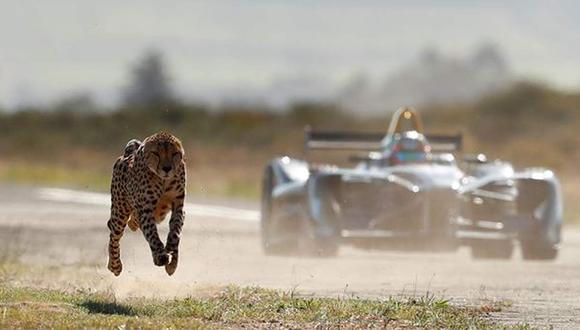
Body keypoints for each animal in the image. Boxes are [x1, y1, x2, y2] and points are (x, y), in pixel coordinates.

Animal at [105, 131, 185, 276]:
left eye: (174, 153)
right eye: (156, 153)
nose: (167, 168)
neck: (163, 180)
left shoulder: (178, 207)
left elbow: (175, 232)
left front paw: (172, 259)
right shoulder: (146, 210)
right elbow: (151, 233)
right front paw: (160, 255)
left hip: (159, 212)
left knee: (134, 220)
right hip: (120, 211)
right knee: (114, 233)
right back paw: (114, 265)